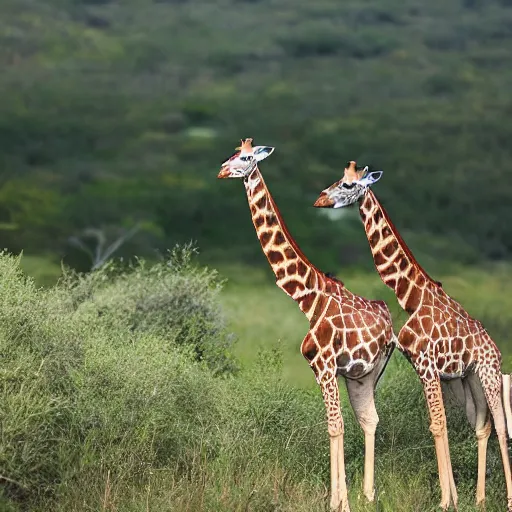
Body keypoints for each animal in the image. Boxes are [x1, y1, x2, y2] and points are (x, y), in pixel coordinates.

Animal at [217, 140, 396, 512]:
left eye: (245, 158)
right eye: (230, 155)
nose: (222, 171)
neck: (306, 297)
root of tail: (389, 328)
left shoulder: (324, 365)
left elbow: (334, 426)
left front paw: (337, 503)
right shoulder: (325, 370)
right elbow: (338, 424)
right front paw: (342, 499)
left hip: (365, 372)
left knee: (360, 420)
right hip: (364, 375)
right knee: (370, 419)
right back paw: (369, 495)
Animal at [314, 161, 512, 512]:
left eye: (349, 185)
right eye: (339, 179)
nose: (321, 199)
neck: (411, 295)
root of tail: (495, 349)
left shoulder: (427, 364)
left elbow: (438, 424)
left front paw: (446, 502)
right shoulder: (429, 369)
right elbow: (440, 424)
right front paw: (454, 498)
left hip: (488, 373)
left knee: (501, 425)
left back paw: (507, 499)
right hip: (466, 380)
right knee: (482, 425)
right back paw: (480, 498)